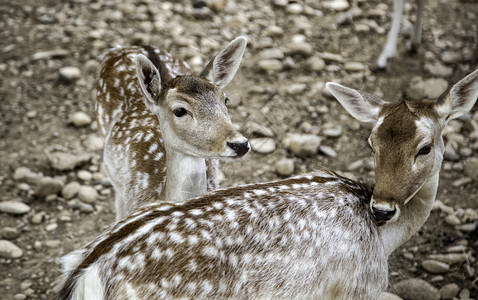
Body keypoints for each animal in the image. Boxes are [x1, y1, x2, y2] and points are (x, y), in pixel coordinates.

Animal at [58, 71, 476, 300]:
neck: (383, 241)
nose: (383, 207)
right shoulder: (354, 290)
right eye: (370, 143)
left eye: (425, 147)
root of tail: (86, 274)